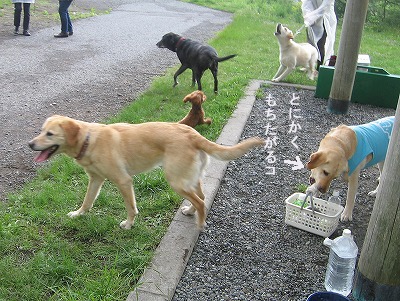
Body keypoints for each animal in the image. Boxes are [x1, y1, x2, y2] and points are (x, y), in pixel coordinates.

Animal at [28, 116, 266, 229]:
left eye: (50, 134)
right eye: (41, 131)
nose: (30, 144)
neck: (89, 139)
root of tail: (193, 133)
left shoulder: (124, 181)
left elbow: (131, 208)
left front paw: (128, 225)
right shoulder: (95, 179)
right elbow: (87, 202)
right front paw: (78, 214)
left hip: (175, 181)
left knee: (200, 201)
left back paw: (199, 224)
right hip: (189, 179)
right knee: (202, 197)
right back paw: (191, 212)